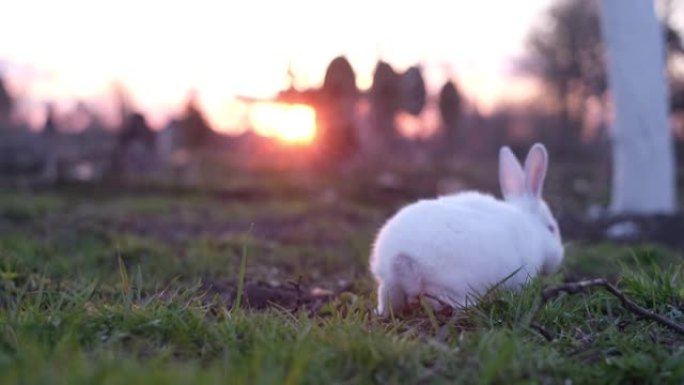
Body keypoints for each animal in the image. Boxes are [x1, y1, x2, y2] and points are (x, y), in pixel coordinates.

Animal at [372, 144, 564, 316]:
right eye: (551, 228)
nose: (559, 257)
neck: (530, 225)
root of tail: (401, 261)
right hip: (449, 285)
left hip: (388, 287)